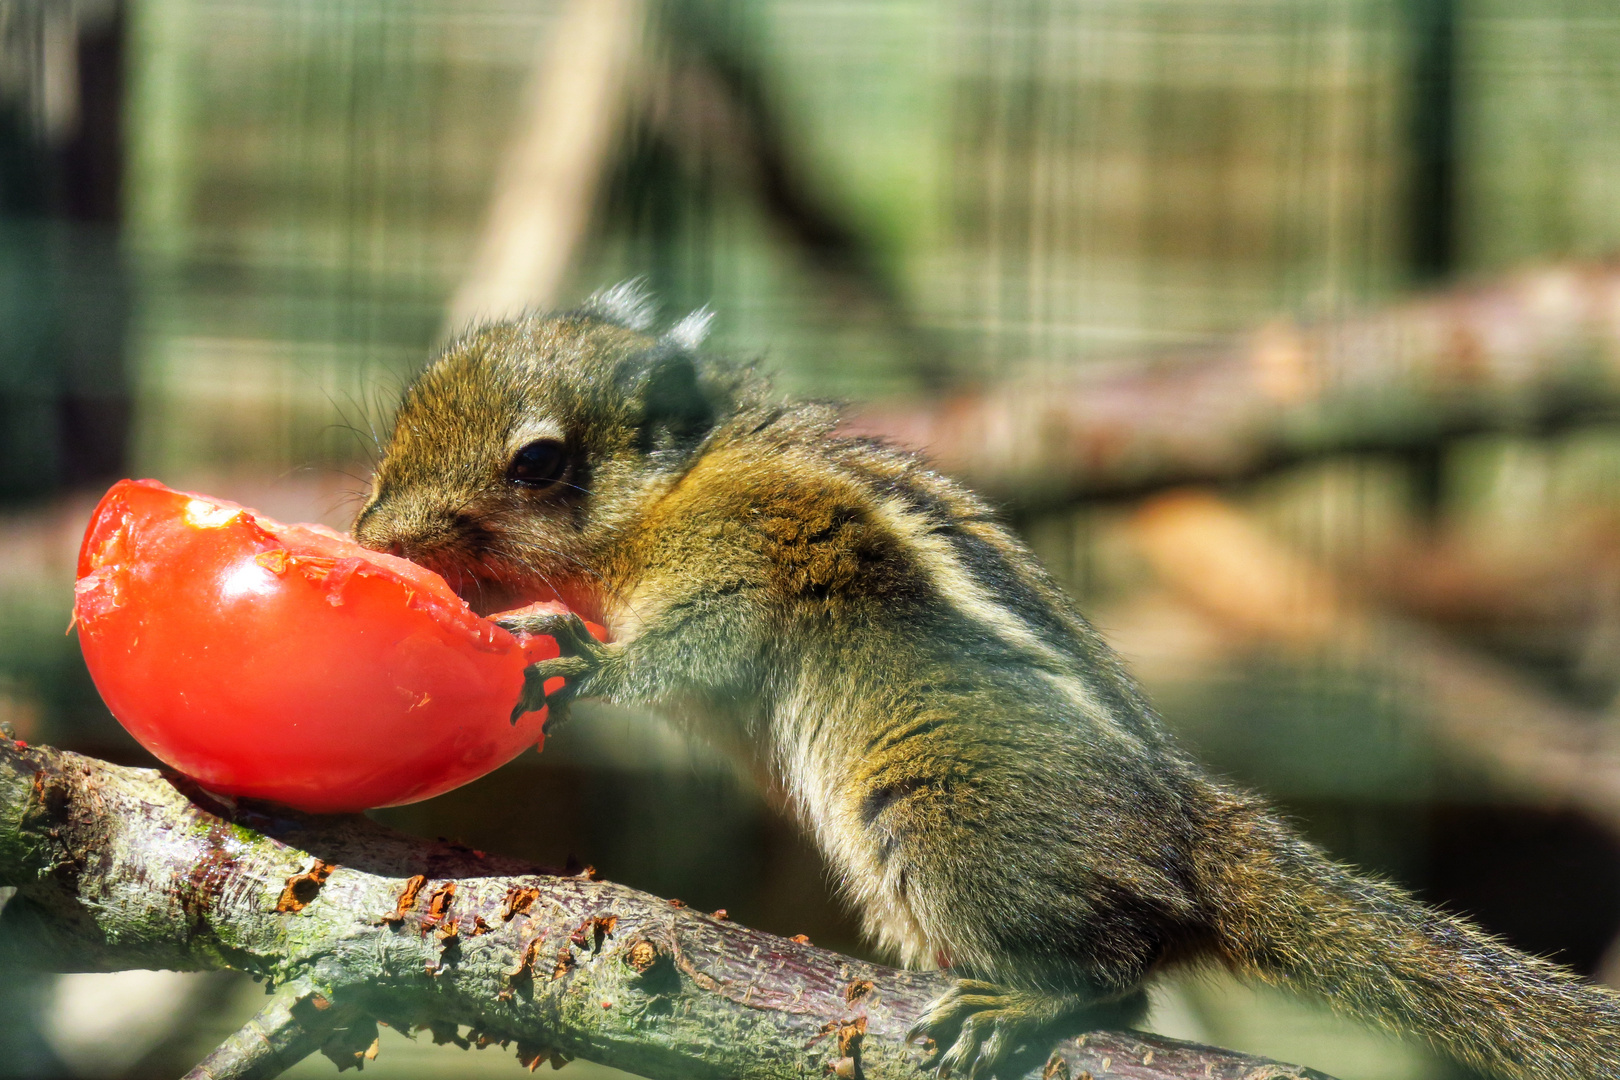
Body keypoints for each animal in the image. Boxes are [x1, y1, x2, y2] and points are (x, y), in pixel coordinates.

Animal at [351, 286, 1620, 1080]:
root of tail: (1196, 831)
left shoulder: (743, 548)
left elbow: (697, 642)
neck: (680, 478)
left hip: (944, 816)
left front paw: (587, 658)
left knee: (1117, 970)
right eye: (395, 438)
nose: (373, 535)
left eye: (540, 464)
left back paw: (1034, 998)